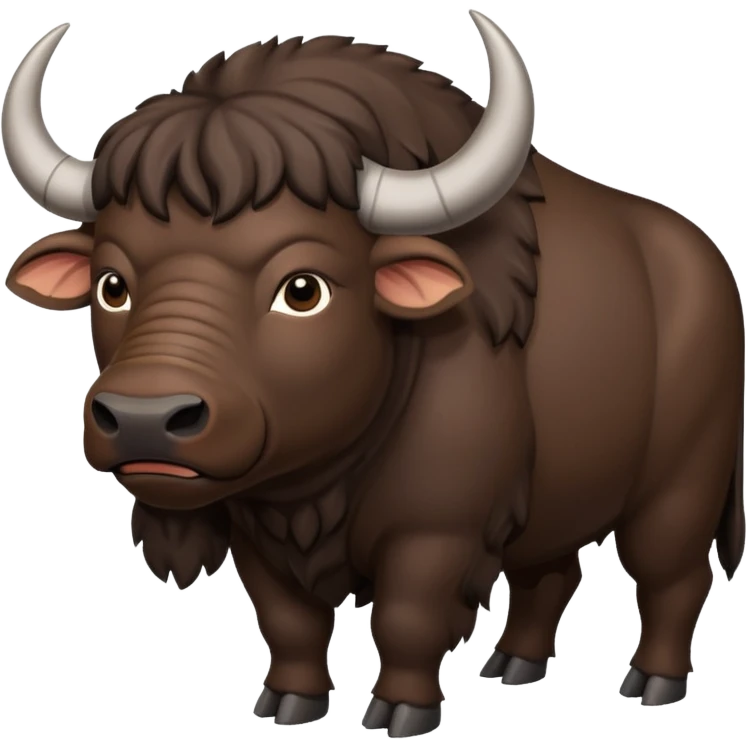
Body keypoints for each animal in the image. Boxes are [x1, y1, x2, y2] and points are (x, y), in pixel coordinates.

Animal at [1, 12, 744, 738]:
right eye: (112, 284)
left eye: (303, 288)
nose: (144, 420)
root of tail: (707, 263)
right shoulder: (254, 528)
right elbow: (288, 620)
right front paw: (288, 702)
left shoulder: (436, 531)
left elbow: (408, 618)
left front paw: (403, 712)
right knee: (551, 574)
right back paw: (514, 666)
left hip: (681, 486)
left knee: (672, 576)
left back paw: (652, 683)